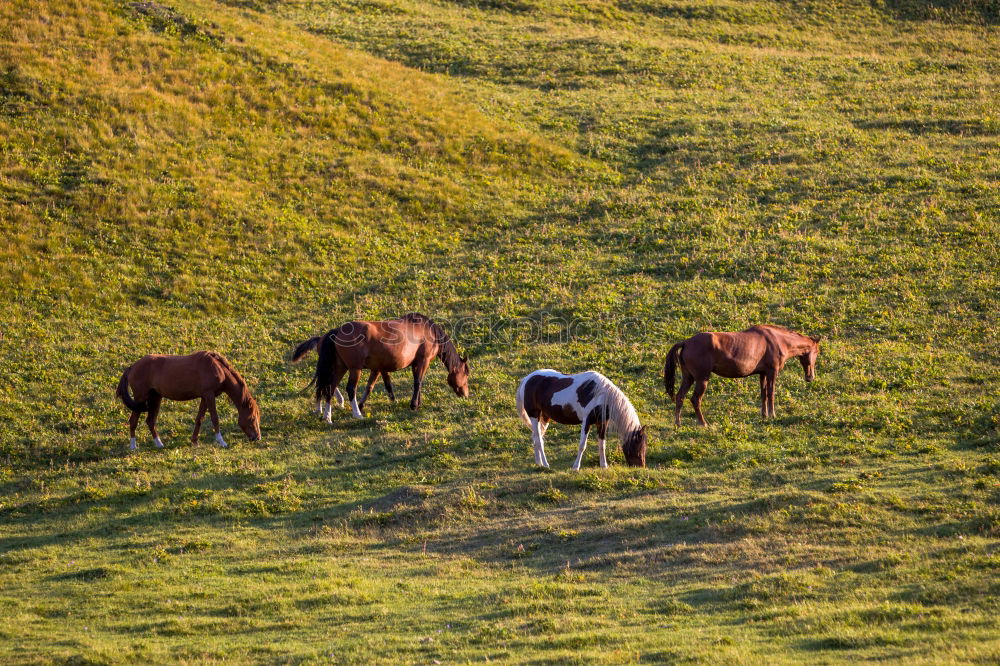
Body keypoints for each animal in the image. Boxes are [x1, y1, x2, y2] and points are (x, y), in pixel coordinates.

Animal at [115, 350, 262, 448]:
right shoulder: (209, 395)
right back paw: (133, 446)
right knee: (133, 421)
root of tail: (132, 367)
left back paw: (159, 444)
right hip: (140, 397)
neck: (218, 369)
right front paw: (221, 441)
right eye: (252, 418)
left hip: (156, 397)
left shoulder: (205, 397)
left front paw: (194, 441)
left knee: (150, 421)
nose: (257, 437)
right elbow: (215, 418)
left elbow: (199, 419)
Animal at [294, 312, 470, 418]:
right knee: (350, 389)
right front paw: (414, 405)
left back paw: (327, 416)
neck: (427, 331)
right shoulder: (423, 361)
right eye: (466, 374)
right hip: (354, 369)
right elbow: (418, 382)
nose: (466, 395)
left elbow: (371, 386)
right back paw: (356, 414)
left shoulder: (379, 368)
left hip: (340, 367)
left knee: (329, 387)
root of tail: (337, 331)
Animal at [516, 366, 648, 470]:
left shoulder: (602, 422)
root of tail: (526, 379)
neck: (601, 395)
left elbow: (602, 445)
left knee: (536, 438)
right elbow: (582, 445)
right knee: (539, 439)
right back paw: (545, 464)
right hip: (534, 415)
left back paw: (538, 463)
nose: (641, 466)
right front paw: (576, 467)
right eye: (638, 446)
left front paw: (604, 465)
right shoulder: (586, 421)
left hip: (544, 417)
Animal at [664, 322, 820, 426]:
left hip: (688, 378)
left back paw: (678, 423)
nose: (810, 377)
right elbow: (771, 393)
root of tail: (686, 342)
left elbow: (763, 394)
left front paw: (764, 415)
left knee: (680, 396)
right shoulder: (772, 372)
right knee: (695, 399)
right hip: (702, 379)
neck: (777, 340)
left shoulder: (762, 374)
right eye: (817, 352)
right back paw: (703, 423)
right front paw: (772, 415)